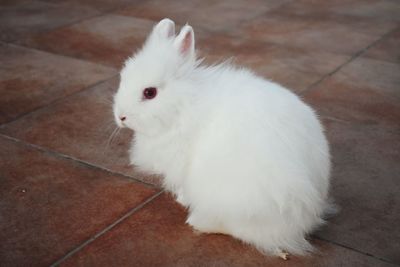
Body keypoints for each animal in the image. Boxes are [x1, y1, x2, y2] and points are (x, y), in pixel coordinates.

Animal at [113, 18, 334, 260]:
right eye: (123, 79)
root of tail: (303, 222)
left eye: (150, 93)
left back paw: (198, 222)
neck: (183, 105)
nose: (120, 116)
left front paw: (182, 199)